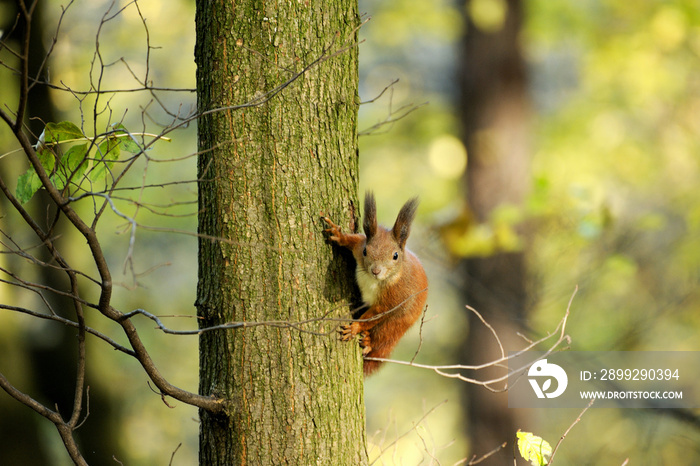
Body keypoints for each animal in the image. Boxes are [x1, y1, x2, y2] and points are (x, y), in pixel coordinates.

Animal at [322, 190, 426, 374]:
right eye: (365, 251)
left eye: (395, 256)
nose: (376, 271)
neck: (375, 280)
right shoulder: (358, 246)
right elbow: (353, 240)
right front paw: (339, 235)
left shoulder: (394, 298)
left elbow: (375, 314)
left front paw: (355, 328)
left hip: (395, 326)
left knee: (383, 338)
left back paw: (369, 343)